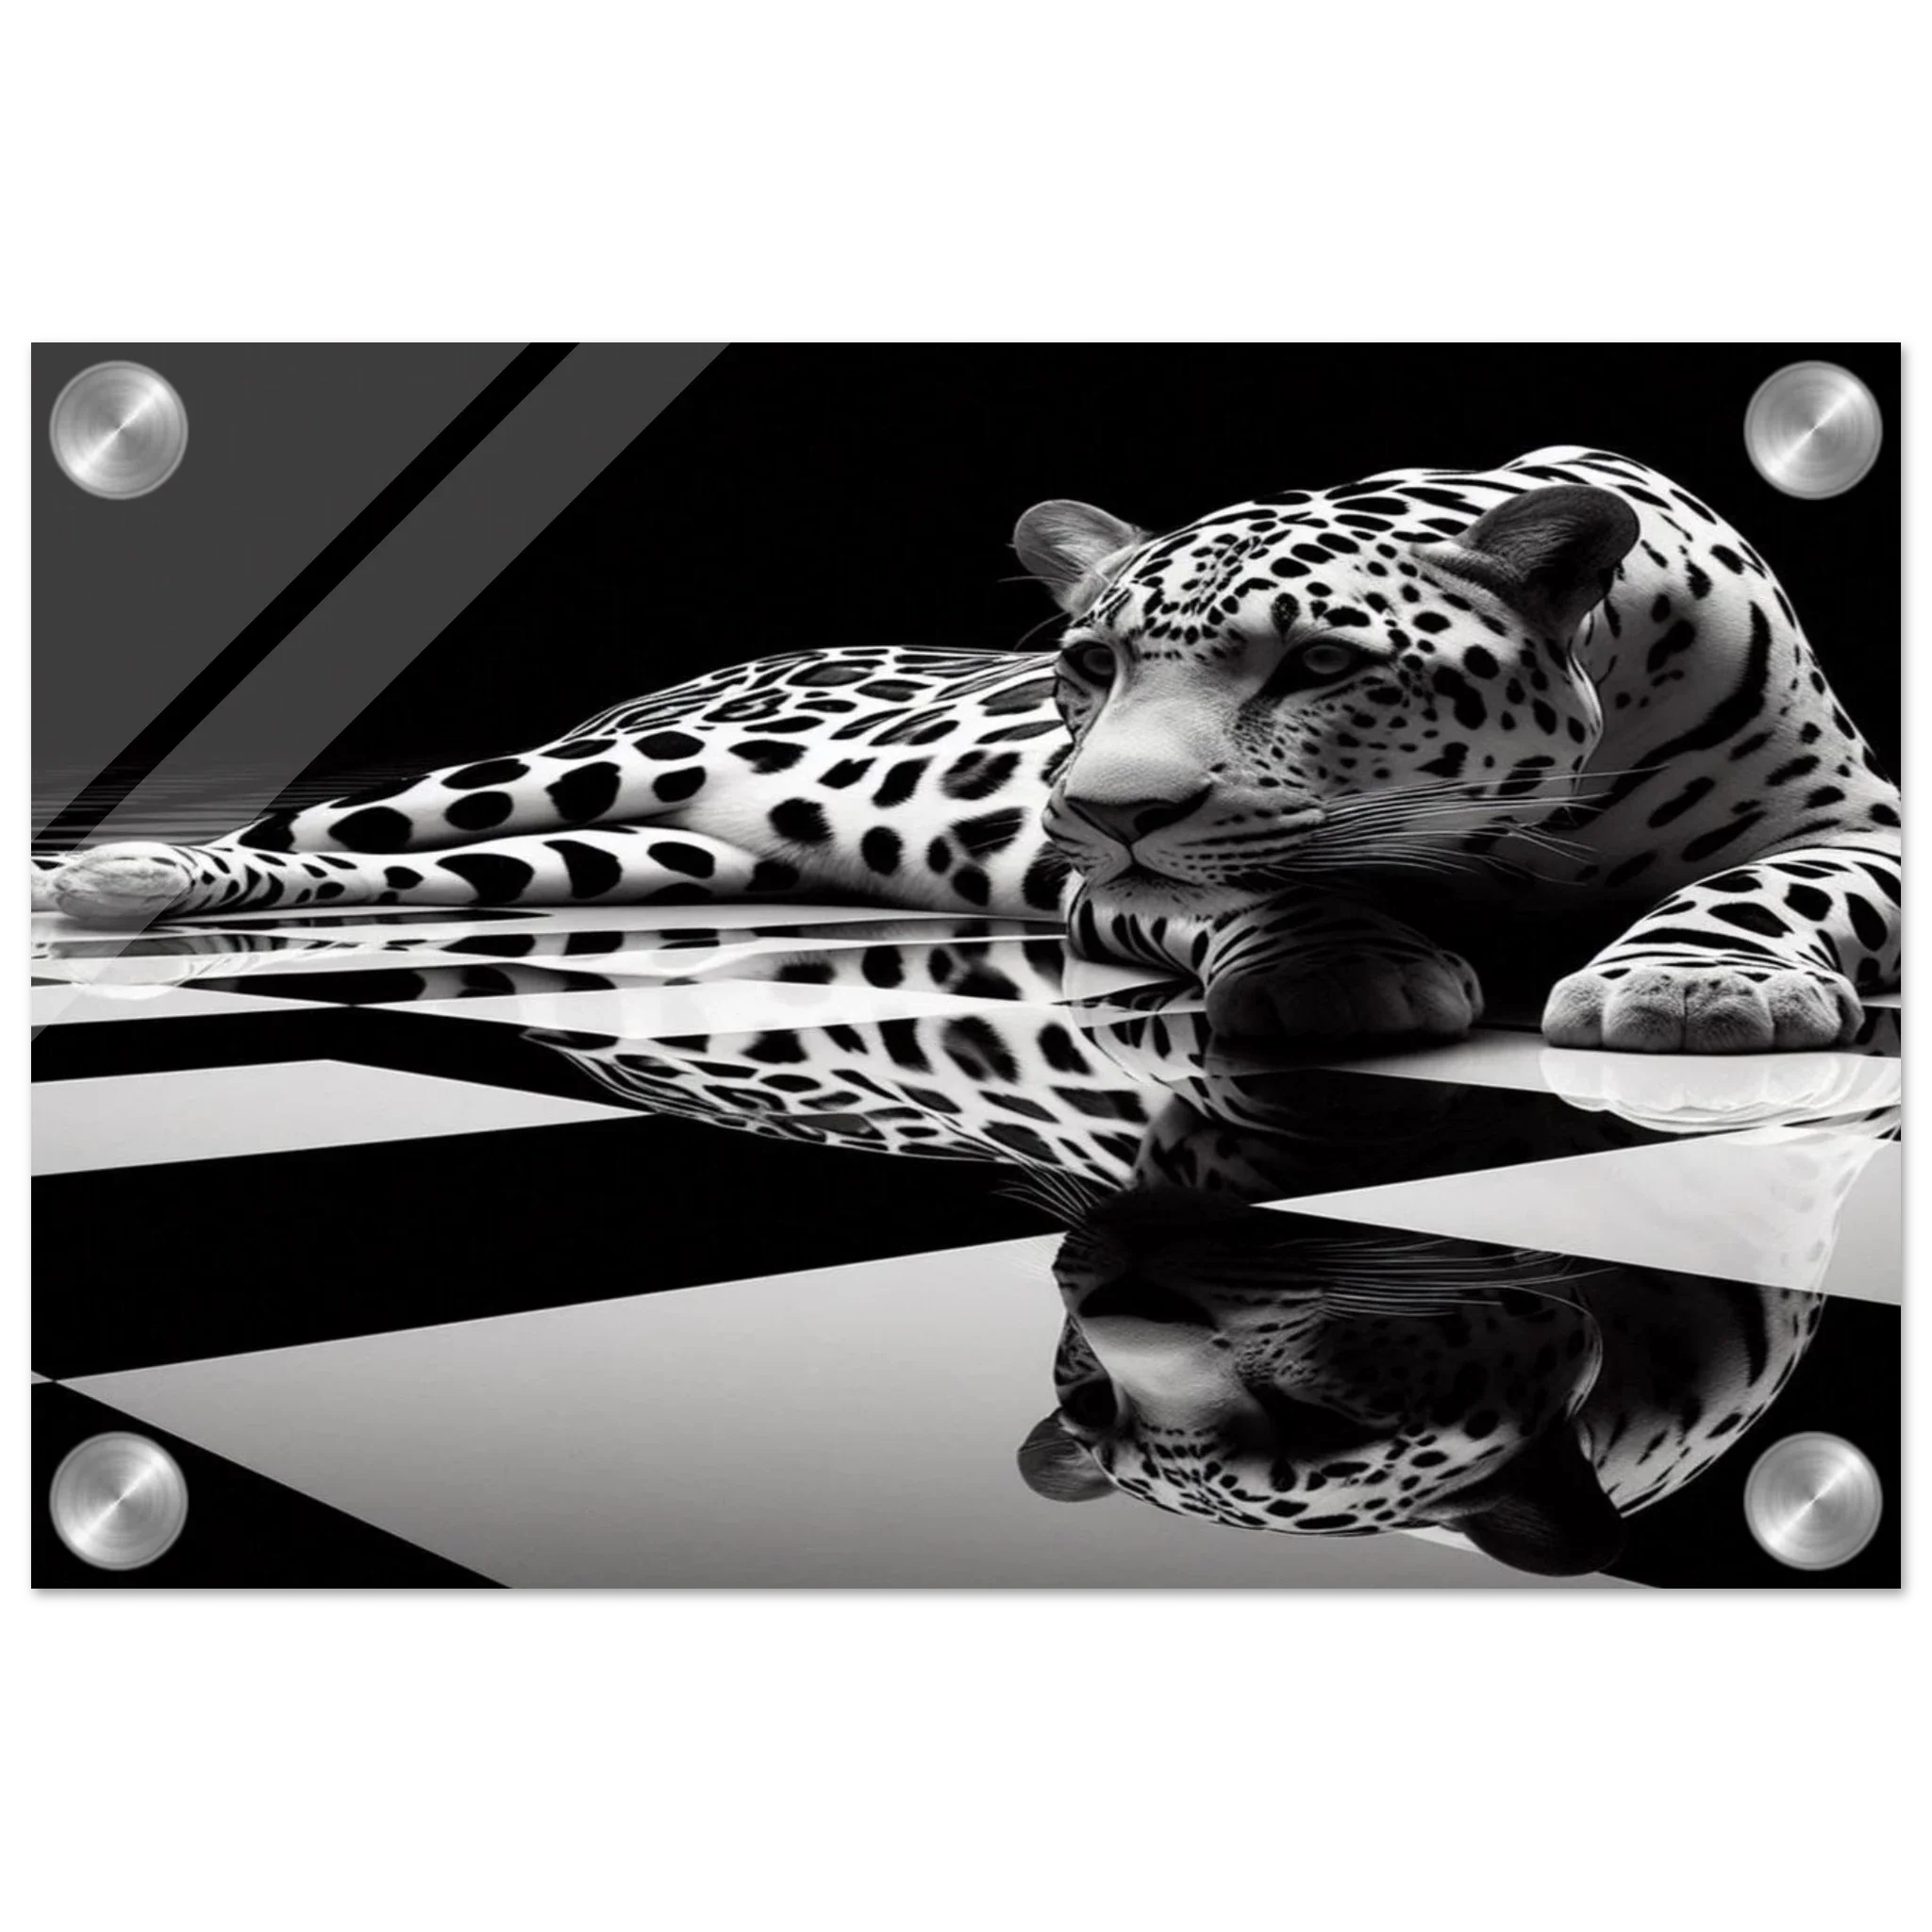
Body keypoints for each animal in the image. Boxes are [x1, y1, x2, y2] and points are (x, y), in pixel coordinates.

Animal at [35, 447, 1903, 1055]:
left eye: (1316, 663)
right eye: (1084, 666)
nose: (1097, 804)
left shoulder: (1863, 830)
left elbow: (1768, 887)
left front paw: (1696, 985)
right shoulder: (1108, 893)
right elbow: (1260, 890)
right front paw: (1340, 967)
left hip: (628, 855)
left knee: (427, 871)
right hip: (561, 779)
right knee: (336, 824)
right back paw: (118, 878)